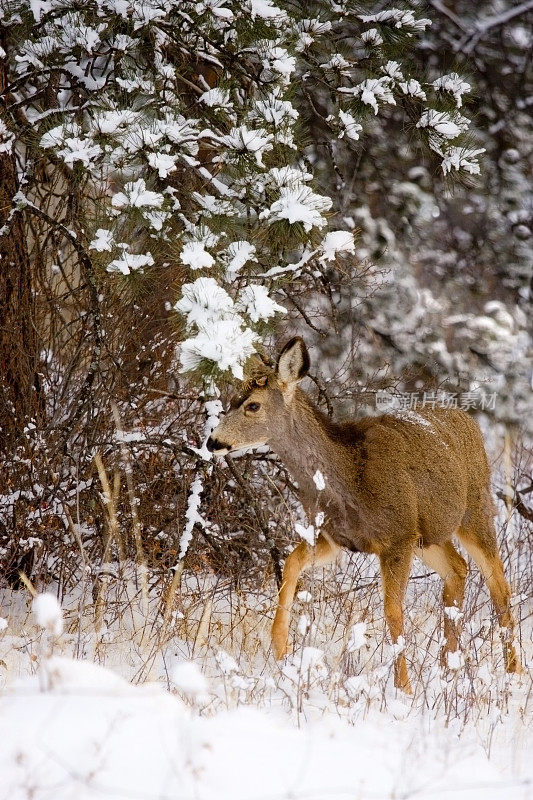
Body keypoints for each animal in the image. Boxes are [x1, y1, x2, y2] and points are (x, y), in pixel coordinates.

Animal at [207, 334, 520, 692]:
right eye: (233, 398)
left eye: (252, 405)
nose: (213, 441)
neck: (348, 481)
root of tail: (468, 419)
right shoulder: (333, 536)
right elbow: (290, 564)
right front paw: (281, 648)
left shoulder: (397, 536)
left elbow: (393, 610)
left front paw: (403, 687)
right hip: (428, 535)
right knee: (458, 569)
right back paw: (447, 669)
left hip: (475, 511)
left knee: (499, 586)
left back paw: (513, 672)